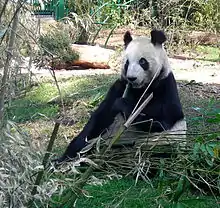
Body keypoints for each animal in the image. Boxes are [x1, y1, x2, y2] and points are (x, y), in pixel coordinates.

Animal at [55, 29, 186, 163]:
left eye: (142, 61)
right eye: (127, 63)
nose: (132, 78)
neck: (140, 88)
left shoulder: (165, 86)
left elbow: (160, 121)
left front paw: (123, 104)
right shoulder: (120, 86)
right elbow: (100, 118)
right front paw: (69, 154)